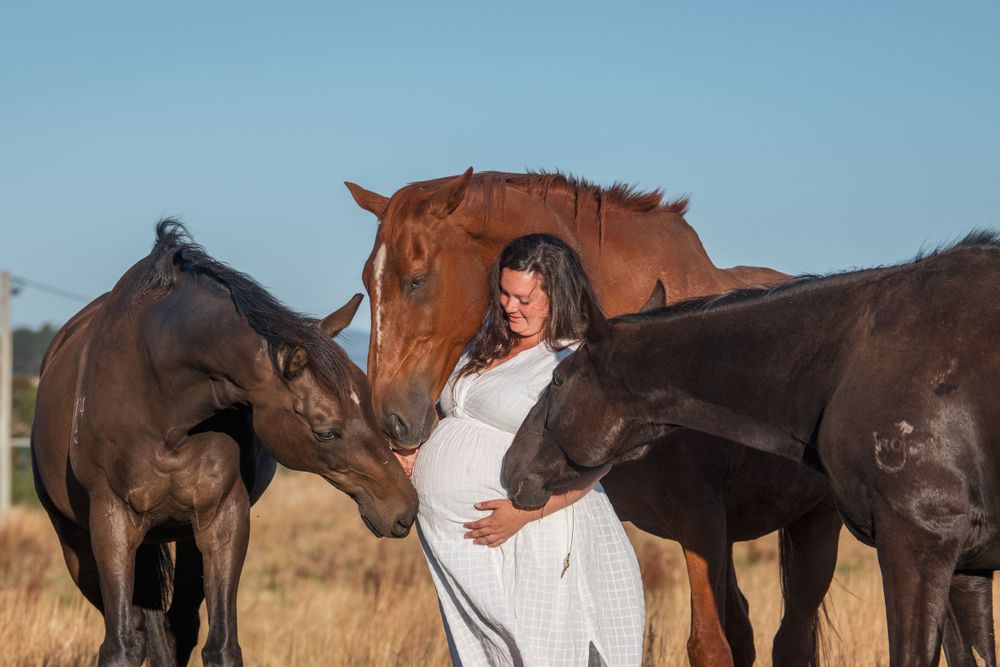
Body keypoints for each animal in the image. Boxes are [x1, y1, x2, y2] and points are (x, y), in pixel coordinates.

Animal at [31, 221, 418, 667]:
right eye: (326, 431)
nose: (405, 509)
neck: (160, 403)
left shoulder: (223, 519)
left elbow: (221, 645)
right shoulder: (110, 522)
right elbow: (121, 646)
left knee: (176, 627)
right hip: (80, 548)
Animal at [346, 168, 841, 666]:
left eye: (417, 280)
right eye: (368, 282)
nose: (390, 419)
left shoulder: (701, 521)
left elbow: (708, 645)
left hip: (815, 522)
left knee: (791, 638)